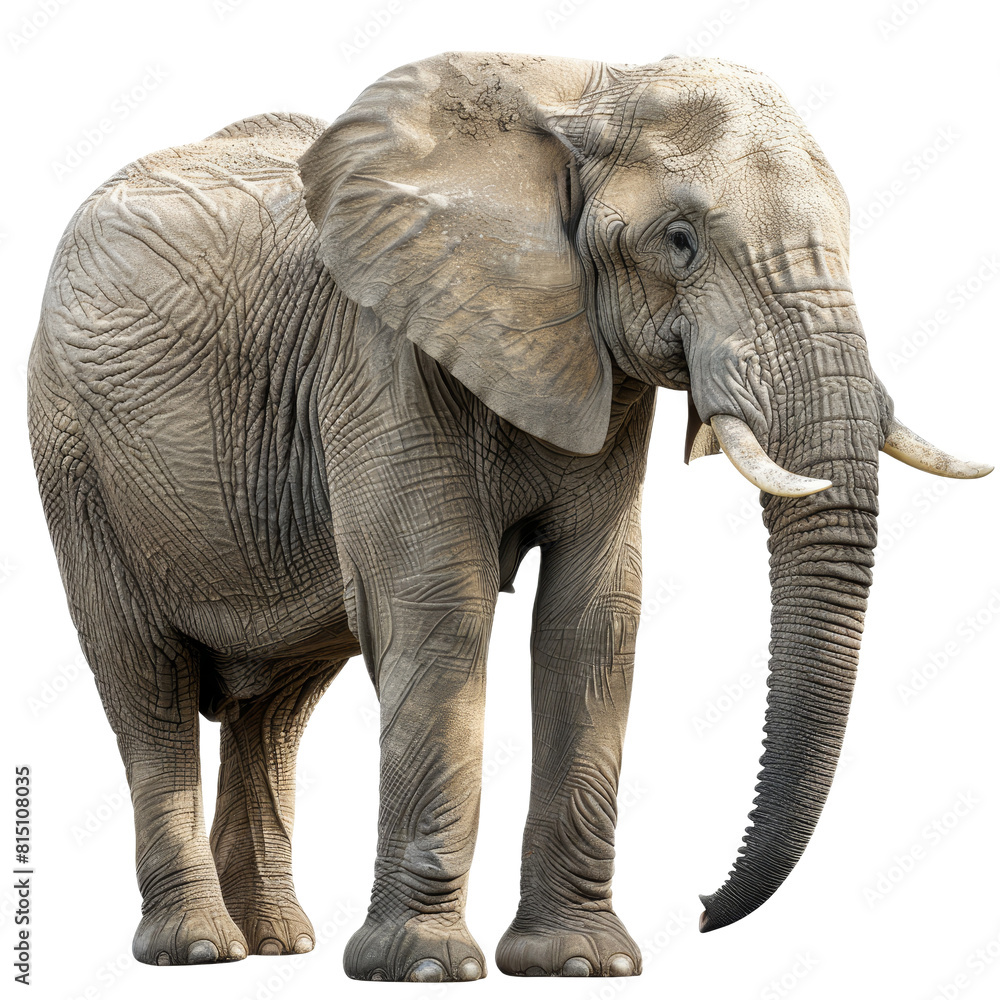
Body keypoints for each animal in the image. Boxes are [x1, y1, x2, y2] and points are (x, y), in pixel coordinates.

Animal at [28, 51, 990, 981]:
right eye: (680, 242)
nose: (704, 909)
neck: (585, 95)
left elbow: (593, 621)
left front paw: (582, 963)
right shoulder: (381, 357)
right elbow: (437, 612)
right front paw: (423, 967)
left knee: (277, 705)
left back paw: (274, 944)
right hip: (73, 459)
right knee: (145, 681)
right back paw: (197, 948)